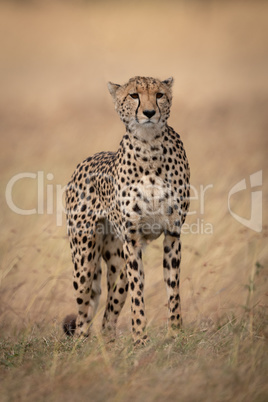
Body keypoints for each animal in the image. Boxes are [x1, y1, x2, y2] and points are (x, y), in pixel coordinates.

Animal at [63, 76, 189, 346]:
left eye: (160, 94)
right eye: (134, 95)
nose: (149, 112)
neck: (150, 147)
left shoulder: (173, 234)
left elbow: (173, 289)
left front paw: (176, 333)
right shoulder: (133, 240)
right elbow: (138, 292)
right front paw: (140, 338)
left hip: (116, 261)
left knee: (108, 316)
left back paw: (110, 344)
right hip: (84, 259)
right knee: (84, 311)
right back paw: (81, 343)